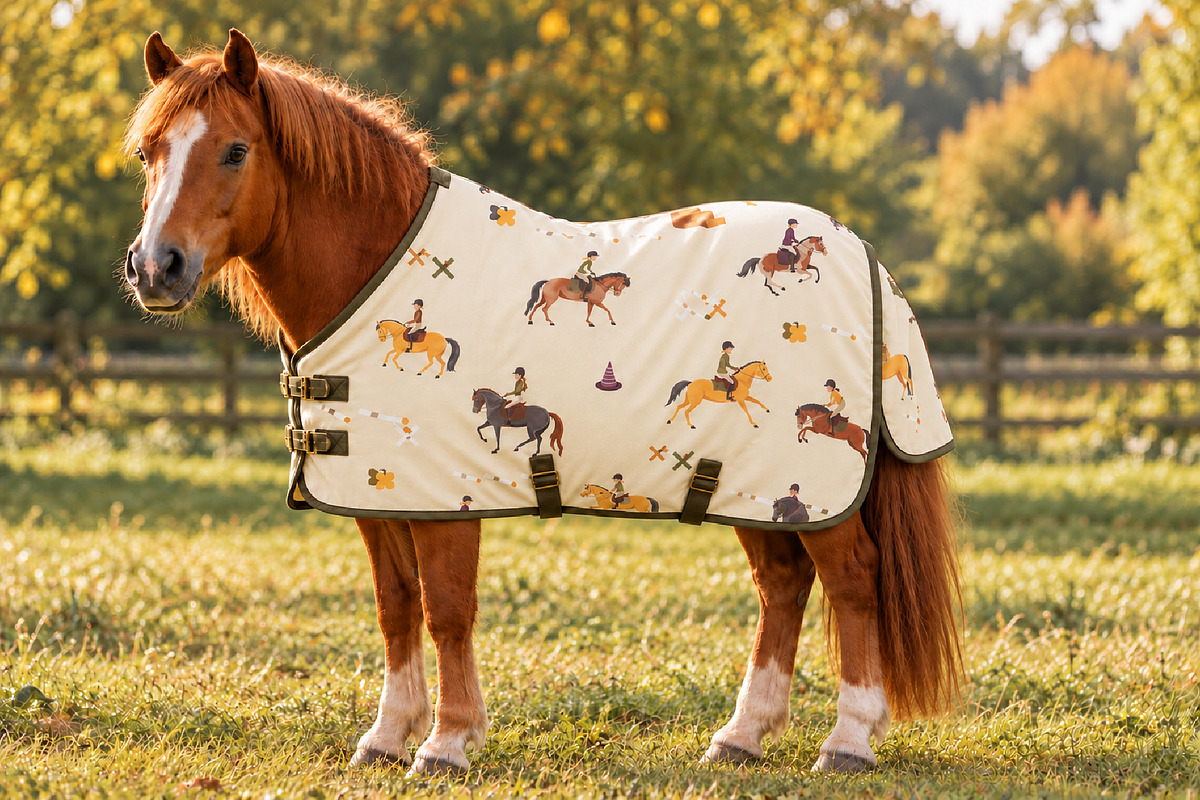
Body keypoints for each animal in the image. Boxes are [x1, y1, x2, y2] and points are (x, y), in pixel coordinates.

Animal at [122, 30, 961, 776]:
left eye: (235, 150)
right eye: (148, 152)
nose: (156, 267)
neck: (376, 266)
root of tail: (862, 256)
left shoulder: (444, 501)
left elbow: (446, 610)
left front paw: (447, 744)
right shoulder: (380, 497)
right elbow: (396, 609)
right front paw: (387, 737)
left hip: (817, 497)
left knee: (854, 583)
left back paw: (848, 741)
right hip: (748, 486)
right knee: (782, 588)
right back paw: (742, 737)